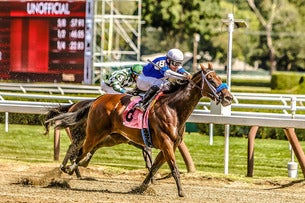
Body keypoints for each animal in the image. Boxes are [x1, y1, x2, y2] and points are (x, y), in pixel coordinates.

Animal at [48, 63, 232, 197]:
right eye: (211, 79)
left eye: (219, 77)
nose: (228, 97)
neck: (173, 109)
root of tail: (97, 100)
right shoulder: (166, 143)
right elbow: (173, 168)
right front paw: (181, 192)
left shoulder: (169, 146)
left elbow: (153, 167)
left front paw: (141, 188)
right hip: (94, 133)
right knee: (79, 151)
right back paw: (68, 170)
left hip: (110, 137)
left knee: (84, 152)